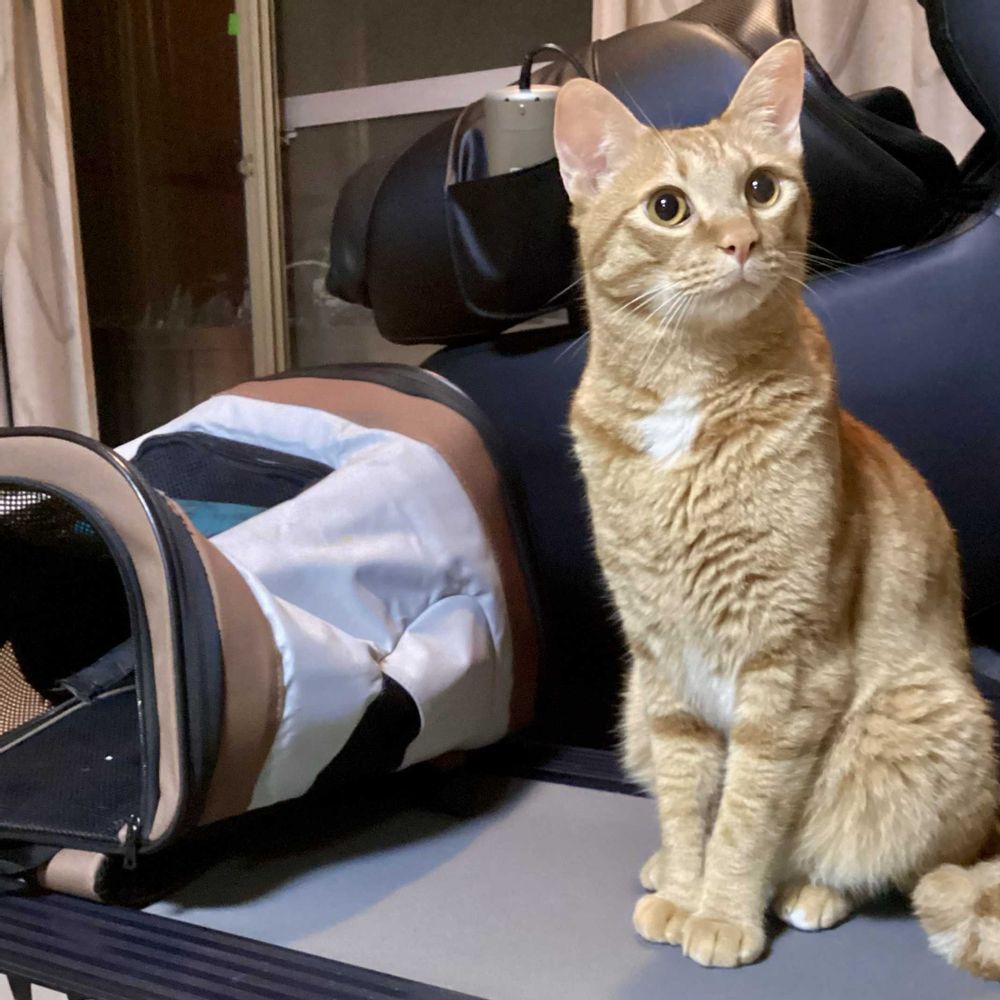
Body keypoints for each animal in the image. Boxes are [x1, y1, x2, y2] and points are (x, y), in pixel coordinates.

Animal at [553, 38, 1000, 975]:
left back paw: (809, 890)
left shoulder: (785, 668)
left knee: (884, 858)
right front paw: (685, 886)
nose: (740, 240)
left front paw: (722, 912)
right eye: (668, 207)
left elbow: (748, 814)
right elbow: (688, 799)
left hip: (919, 721)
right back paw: (665, 870)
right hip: (632, 703)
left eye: (762, 187)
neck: (688, 394)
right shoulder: (664, 668)